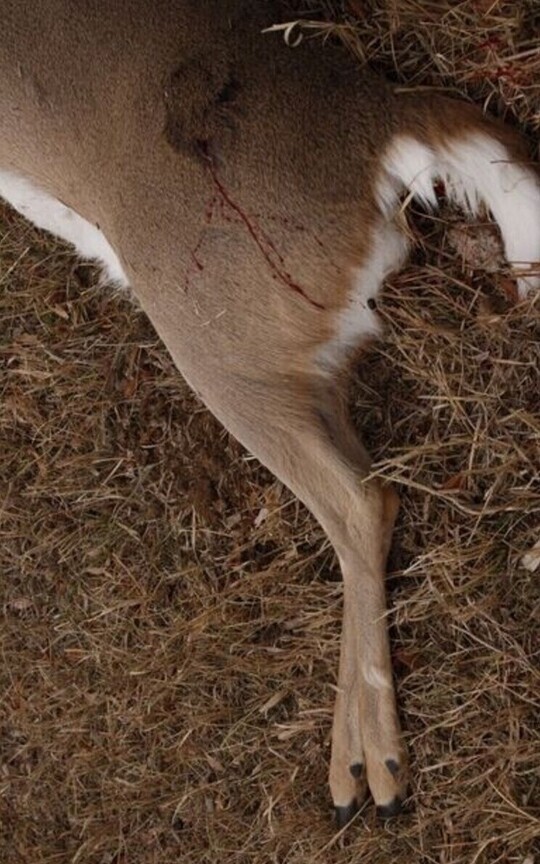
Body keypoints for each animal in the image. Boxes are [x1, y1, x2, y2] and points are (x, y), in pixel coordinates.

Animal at [1, 0, 539, 827]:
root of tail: (381, 119)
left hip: (220, 338)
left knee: (359, 502)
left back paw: (369, 769)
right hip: (300, 354)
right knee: (368, 487)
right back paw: (359, 761)